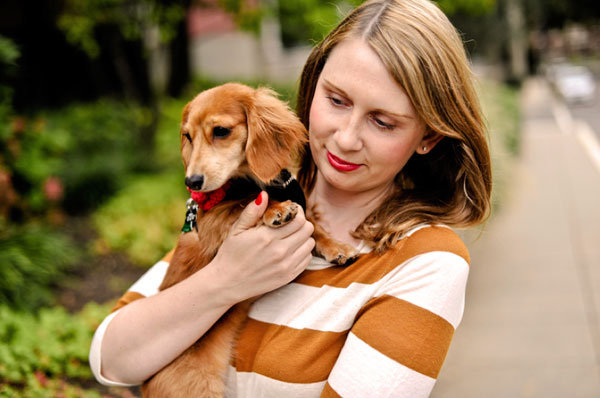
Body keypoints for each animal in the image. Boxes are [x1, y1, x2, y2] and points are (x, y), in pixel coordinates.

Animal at [141, 82, 356, 396]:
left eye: (220, 131)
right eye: (188, 136)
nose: (191, 182)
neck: (251, 180)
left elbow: (312, 225)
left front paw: (337, 246)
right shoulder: (213, 223)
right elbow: (243, 204)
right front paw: (274, 208)